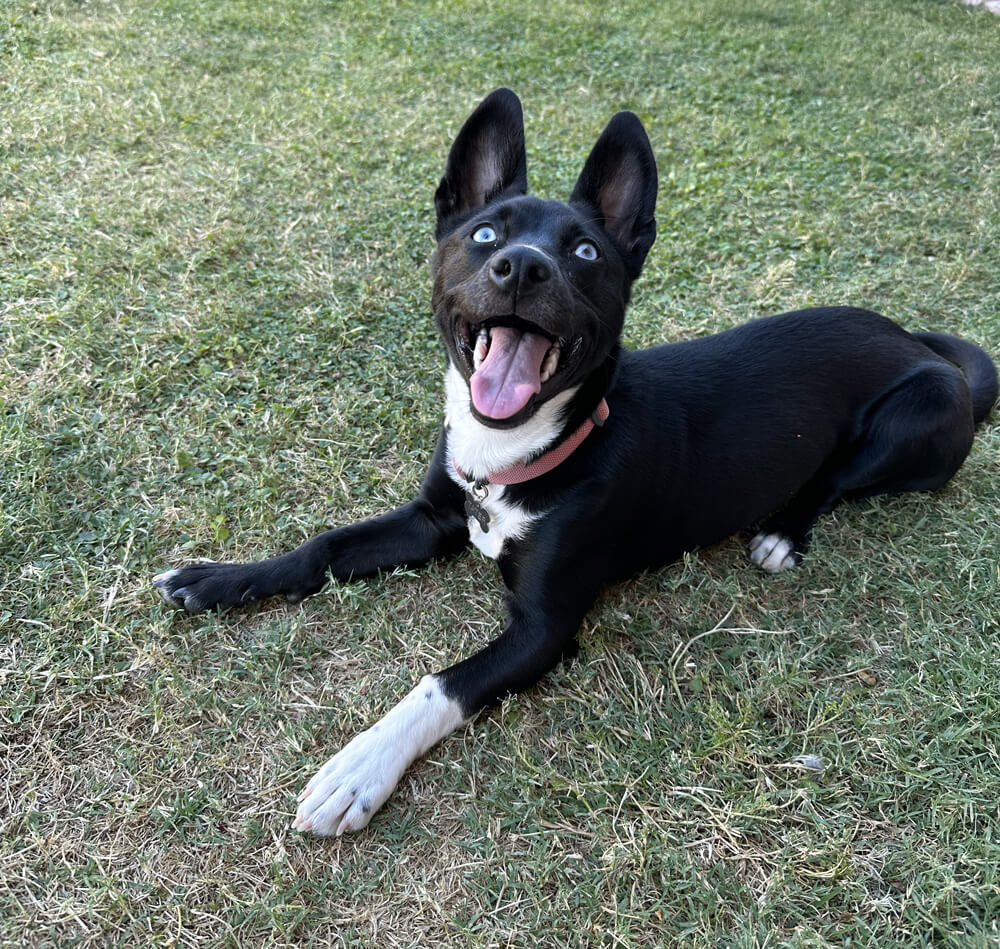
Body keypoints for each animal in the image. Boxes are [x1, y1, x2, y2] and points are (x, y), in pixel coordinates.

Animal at [152, 87, 996, 828]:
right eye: (486, 234)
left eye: (586, 250)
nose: (523, 269)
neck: (517, 454)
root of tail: (918, 341)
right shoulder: (432, 516)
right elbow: (322, 546)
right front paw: (218, 579)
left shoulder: (543, 627)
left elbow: (439, 684)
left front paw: (360, 766)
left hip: (910, 420)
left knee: (829, 478)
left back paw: (785, 532)